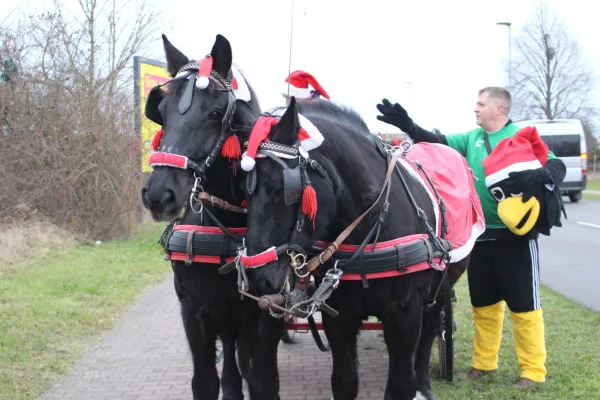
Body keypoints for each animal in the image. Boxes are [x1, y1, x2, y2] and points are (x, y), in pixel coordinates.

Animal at [141, 34, 284, 400]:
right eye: (161, 112)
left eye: (216, 113)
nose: (158, 194)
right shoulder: (194, 312)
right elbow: (205, 382)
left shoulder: (267, 312)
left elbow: (263, 381)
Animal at [239, 97, 478, 400]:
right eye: (244, 192)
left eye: (283, 188)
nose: (258, 277)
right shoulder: (340, 315)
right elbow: (345, 380)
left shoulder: (405, 314)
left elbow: (401, 383)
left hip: (442, 287)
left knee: (428, 333)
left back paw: (424, 385)